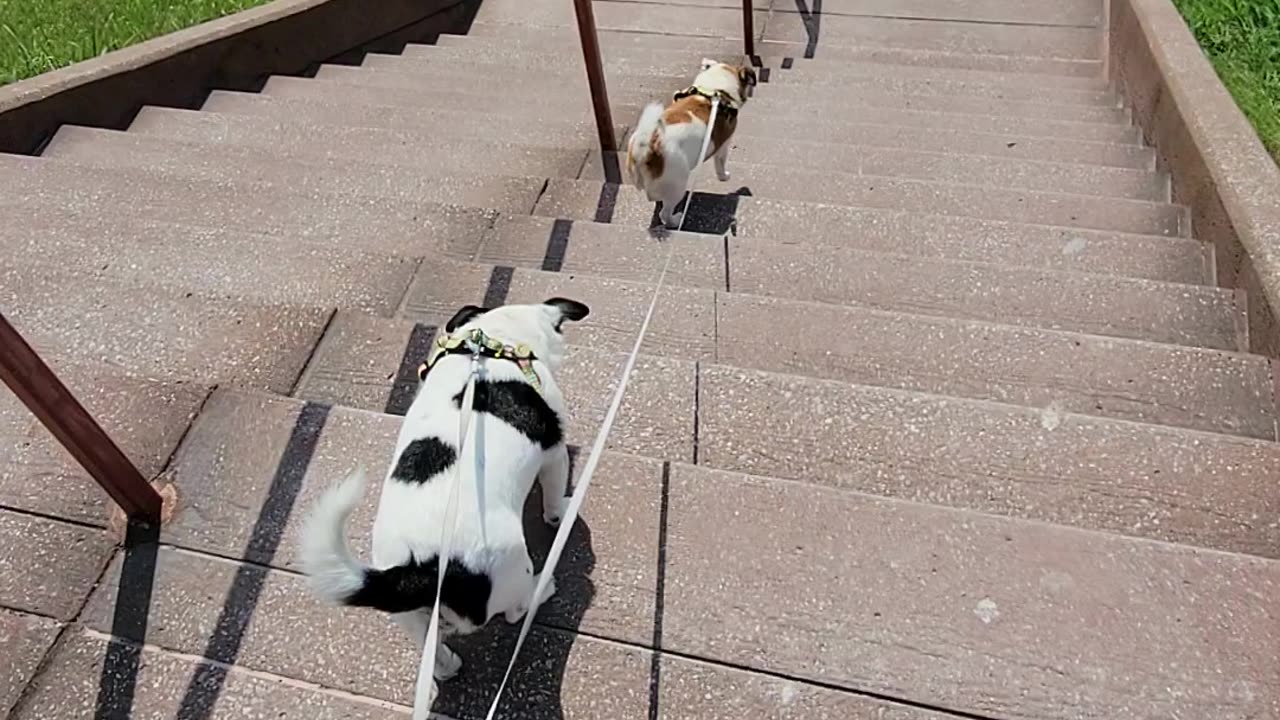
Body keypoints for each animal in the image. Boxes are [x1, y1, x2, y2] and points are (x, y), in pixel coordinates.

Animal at [302, 295, 591, 696]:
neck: (493, 343)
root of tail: (418, 568)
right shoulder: (555, 453)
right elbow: (552, 499)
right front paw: (561, 512)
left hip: (410, 618)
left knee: (435, 656)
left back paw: (448, 665)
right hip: (513, 568)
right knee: (515, 610)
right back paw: (541, 589)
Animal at [624, 58, 752, 228]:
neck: (714, 90)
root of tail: (648, 146)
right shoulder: (724, 144)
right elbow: (720, 164)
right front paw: (724, 176)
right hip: (677, 184)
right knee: (665, 213)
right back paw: (675, 219)